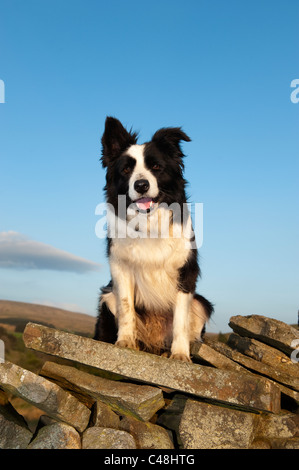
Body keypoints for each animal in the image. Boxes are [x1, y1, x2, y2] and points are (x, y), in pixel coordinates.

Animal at [94, 116, 213, 360]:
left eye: (156, 167)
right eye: (126, 169)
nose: (141, 185)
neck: (149, 223)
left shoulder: (186, 272)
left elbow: (180, 320)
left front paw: (180, 355)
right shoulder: (121, 267)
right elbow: (126, 306)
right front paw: (125, 342)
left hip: (201, 303)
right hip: (107, 296)